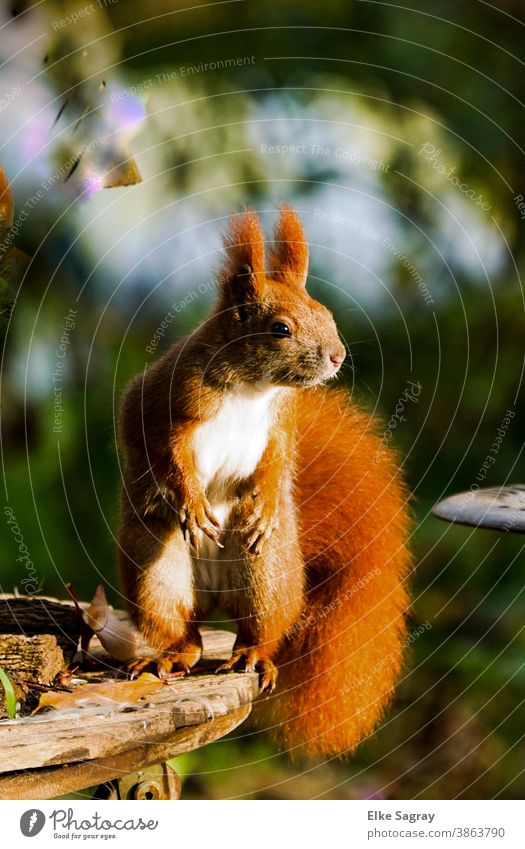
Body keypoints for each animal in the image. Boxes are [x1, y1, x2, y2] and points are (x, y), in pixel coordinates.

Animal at [117, 205, 410, 756]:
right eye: (279, 328)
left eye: (328, 315)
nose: (337, 355)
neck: (253, 388)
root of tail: (215, 597)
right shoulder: (167, 405)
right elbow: (166, 454)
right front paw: (191, 503)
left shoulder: (280, 426)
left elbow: (276, 466)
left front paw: (269, 504)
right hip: (156, 574)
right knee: (184, 630)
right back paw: (171, 655)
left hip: (265, 574)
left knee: (262, 629)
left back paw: (253, 653)